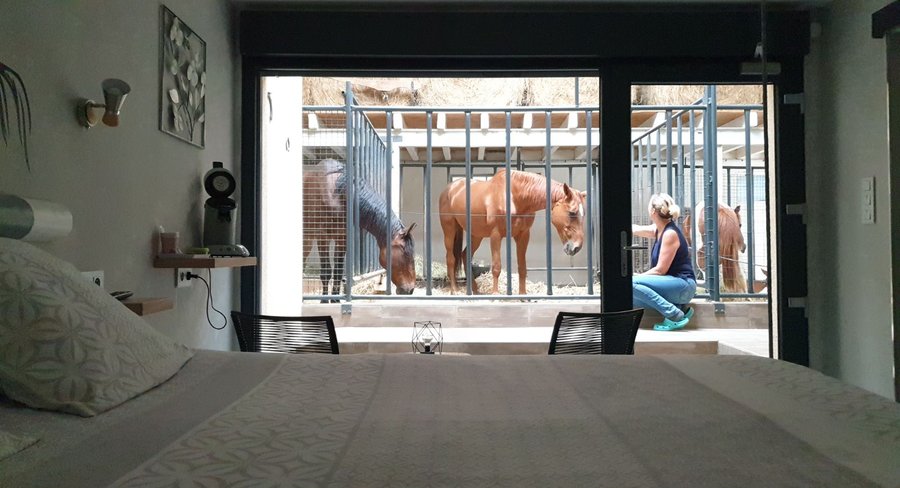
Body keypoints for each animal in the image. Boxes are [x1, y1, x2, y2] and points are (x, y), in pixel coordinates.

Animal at [302, 159, 417, 301]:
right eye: (406, 254)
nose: (410, 289)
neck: (337, 192)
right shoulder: (322, 237)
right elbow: (326, 273)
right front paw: (324, 302)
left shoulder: (342, 238)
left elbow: (338, 272)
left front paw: (335, 300)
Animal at [438, 169, 587, 295]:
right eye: (572, 213)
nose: (576, 247)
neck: (514, 197)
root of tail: (449, 189)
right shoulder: (496, 235)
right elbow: (496, 266)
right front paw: (495, 294)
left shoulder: (523, 235)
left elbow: (522, 267)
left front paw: (523, 295)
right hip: (449, 230)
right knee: (451, 258)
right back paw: (455, 290)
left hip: (476, 235)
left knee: (465, 255)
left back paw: (474, 290)